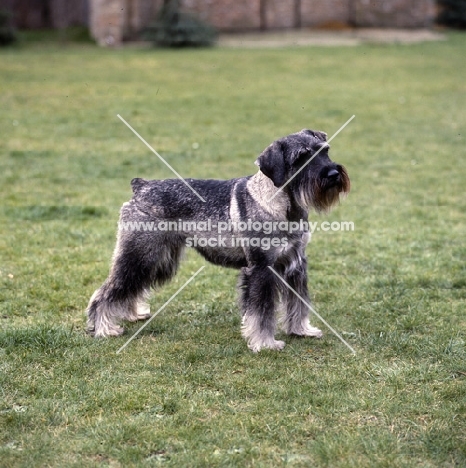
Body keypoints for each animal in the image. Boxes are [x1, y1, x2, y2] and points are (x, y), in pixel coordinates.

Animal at [87, 128, 350, 352]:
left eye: (324, 150)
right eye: (301, 158)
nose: (333, 174)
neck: (281, 204)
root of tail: (140, 187)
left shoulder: (296, 263)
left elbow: (299, 302)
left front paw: (302, 330)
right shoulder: (261, 269)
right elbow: (262, 312)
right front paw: (265, 344)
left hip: (155, 260)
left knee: (131, 287)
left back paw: (131, 314)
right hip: (140, 254)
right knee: (109, 290)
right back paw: (104, 328)